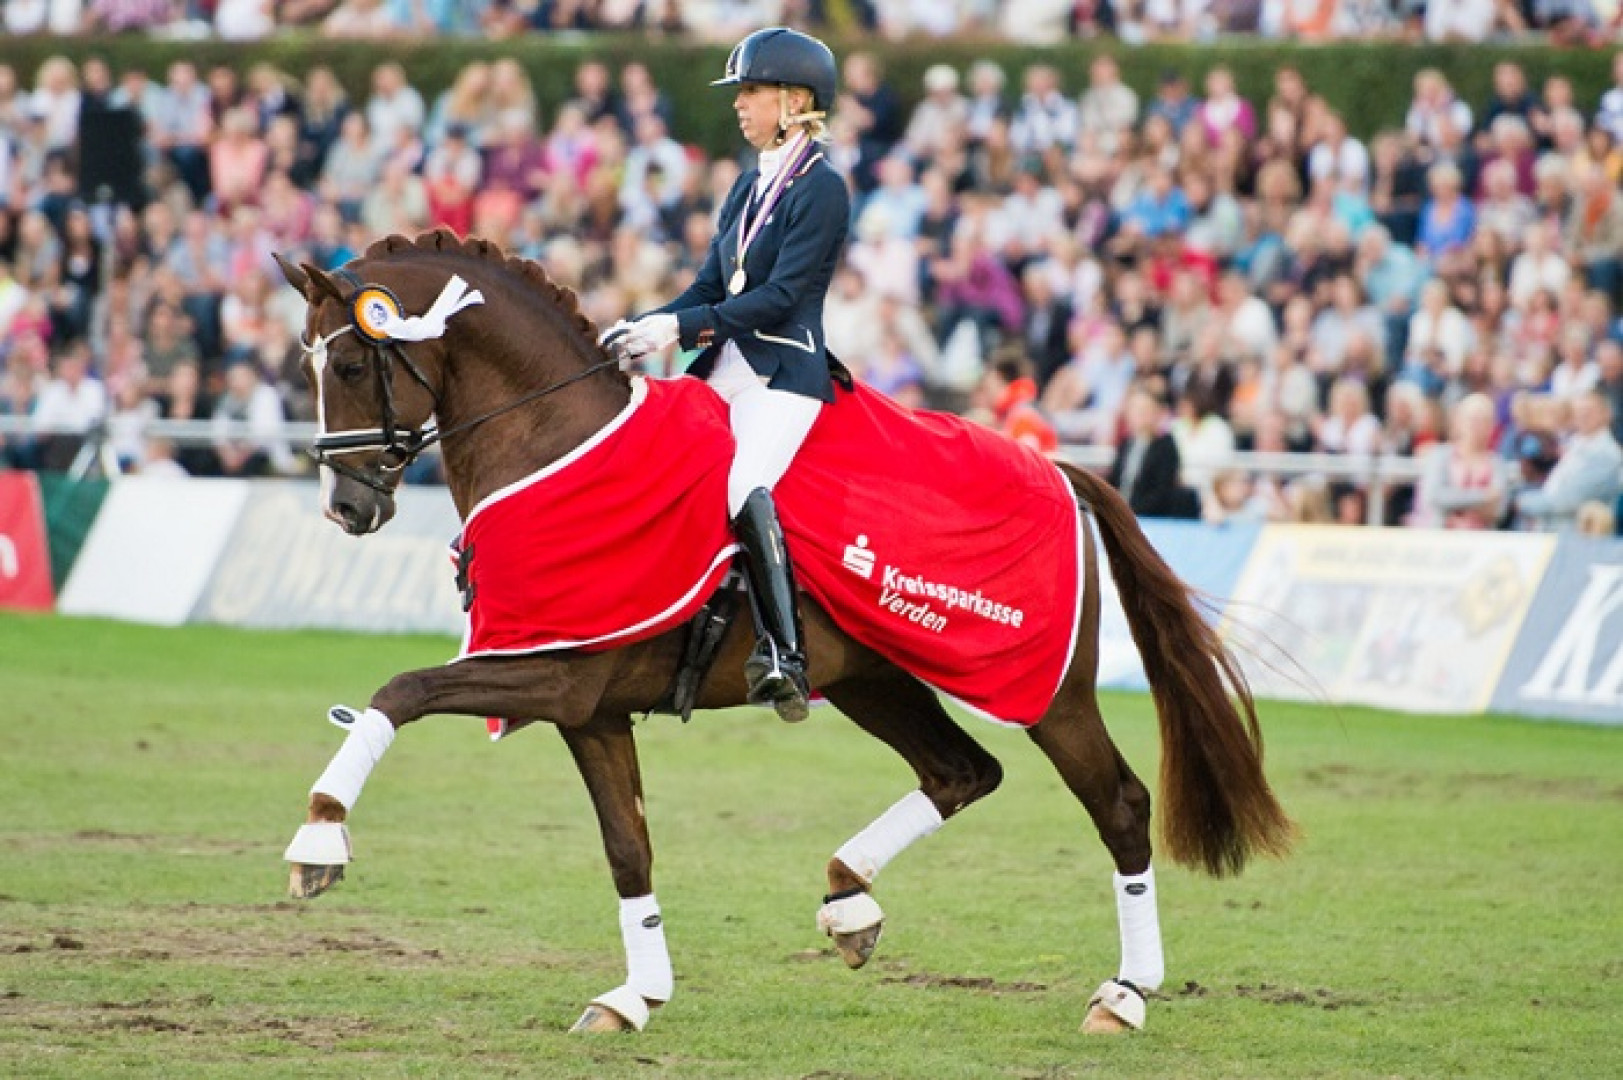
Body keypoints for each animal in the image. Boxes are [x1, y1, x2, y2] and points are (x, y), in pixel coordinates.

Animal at [274, 229, 1294, 1036]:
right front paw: (634, 996)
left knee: (1117, 804)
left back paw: (1123, 994)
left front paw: (320, 836)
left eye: (354, 366)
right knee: (962, 772)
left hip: (1044, 691)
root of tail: (1062, 473)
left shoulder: (553, 674)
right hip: (870, 677)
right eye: (306, 368)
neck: (556, 438)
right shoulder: (590, 709)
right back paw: (849, 900)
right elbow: (627, 848)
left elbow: (400, 691)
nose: (345, 508)